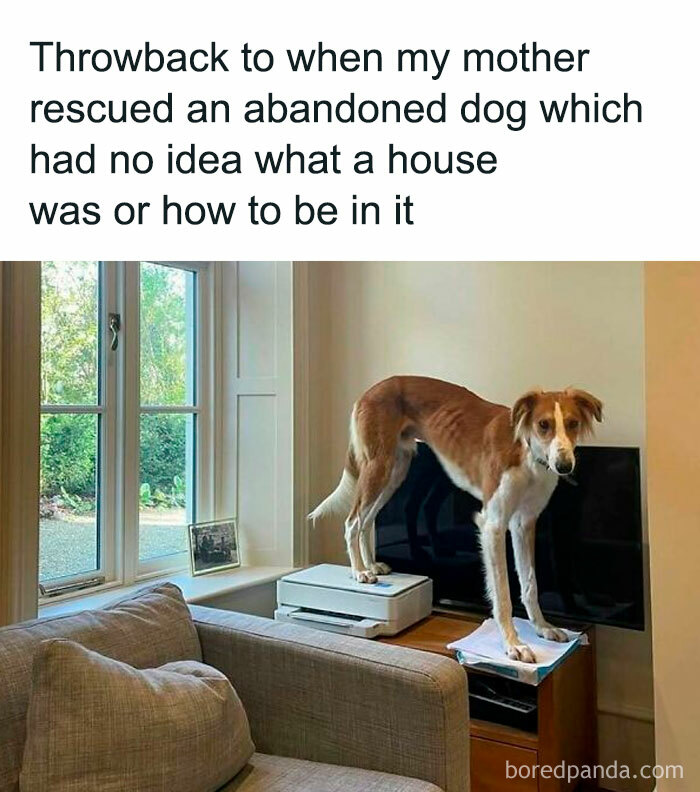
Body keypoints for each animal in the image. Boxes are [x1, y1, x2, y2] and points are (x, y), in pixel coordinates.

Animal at [308, 378, 604, 664]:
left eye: (573, 423)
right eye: (543, 424)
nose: (564, 466)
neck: (527, 452)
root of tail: (371, 390)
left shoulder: (524, 523)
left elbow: (530, 583)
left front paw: (542, 628)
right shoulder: (493, 523)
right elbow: (502, 594)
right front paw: (513, 644)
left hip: (396, 469)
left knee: (368, 519)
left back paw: (371, 565)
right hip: (378, 464)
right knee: (352, 521)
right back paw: (359, 571)